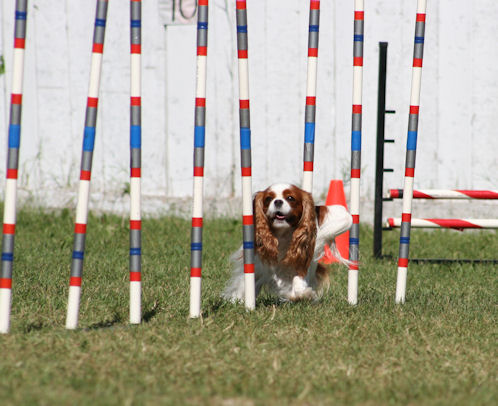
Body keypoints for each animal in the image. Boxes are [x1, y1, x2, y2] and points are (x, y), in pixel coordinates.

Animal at [222, 183, 354, 302]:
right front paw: (237, 300)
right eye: (268, 199)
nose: (277, 201)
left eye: (290, 198)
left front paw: (302, 294)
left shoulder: (302, 259)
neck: (282, 235)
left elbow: (297, 282)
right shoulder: (258, 263)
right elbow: (245, 282)